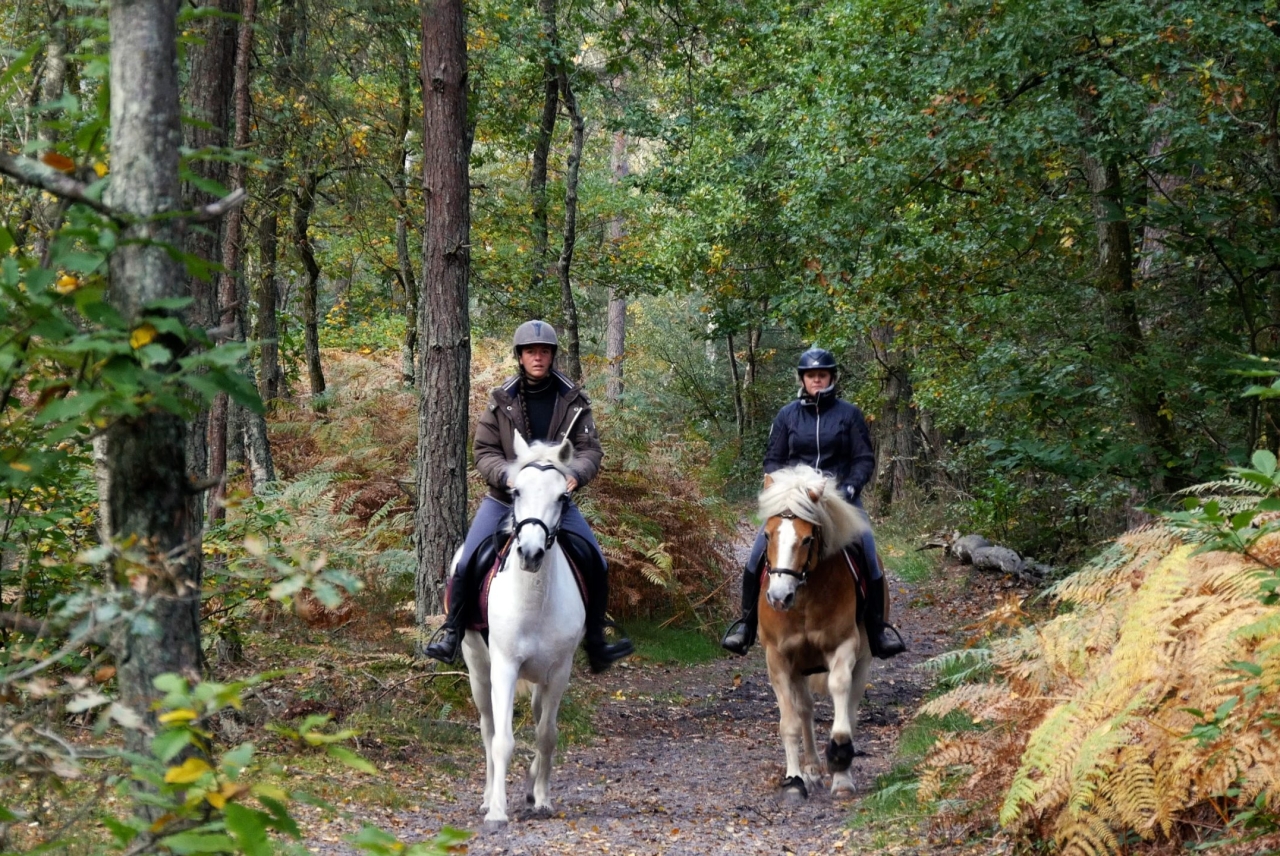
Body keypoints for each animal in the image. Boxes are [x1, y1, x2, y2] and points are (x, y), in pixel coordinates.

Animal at [455, 429, 586, 829]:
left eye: (563, 497)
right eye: (515, 493)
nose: (529, 553)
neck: (534, 602)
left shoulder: (559, 672)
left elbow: (547, 735)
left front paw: (540, 797)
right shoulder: (505, 668)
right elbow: (502, 740)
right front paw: (497, 810)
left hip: (540, 679)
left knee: (539, 717)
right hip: (478, 670)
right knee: (488, 728)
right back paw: (486, 798)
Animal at [752, 463, 875, 798]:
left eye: (807, 539)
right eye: (767, 535)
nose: (779, 597)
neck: (805, 596)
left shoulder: (844, 646)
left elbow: (840, 694)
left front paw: (841, 764)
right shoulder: (778, 659)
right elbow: (790, 723)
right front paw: (794, 780)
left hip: (862, 660)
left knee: (851, 706)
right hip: (798, 669)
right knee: (805, 710)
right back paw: (810, 769)